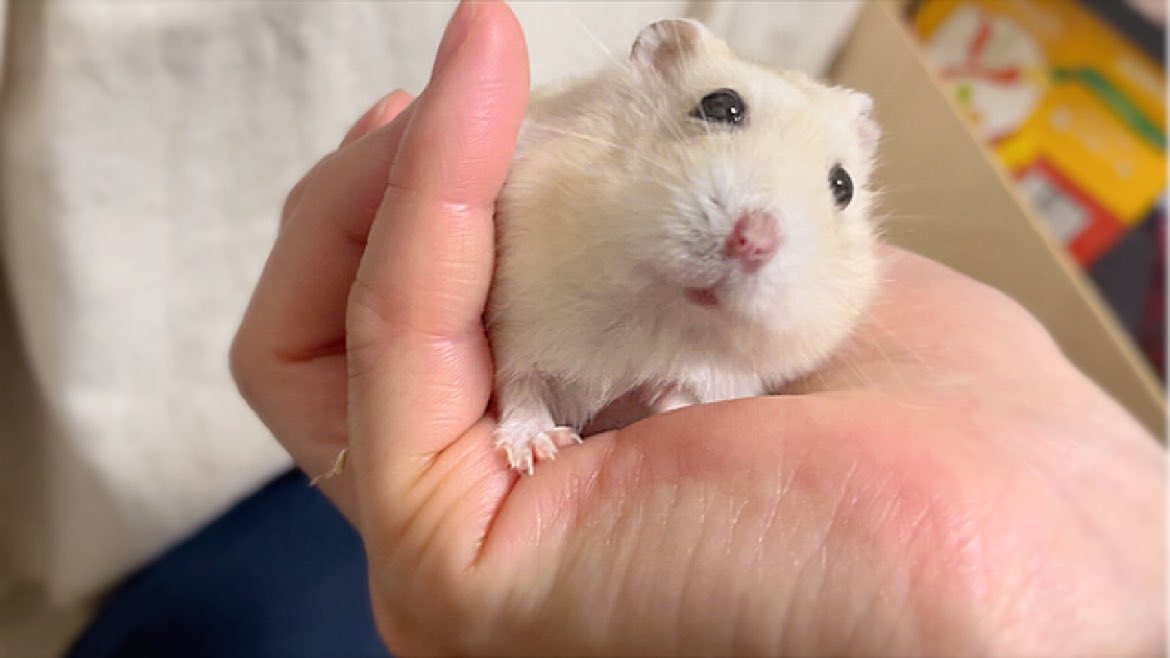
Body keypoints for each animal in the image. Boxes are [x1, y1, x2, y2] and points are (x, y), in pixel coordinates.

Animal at [488, 18, 882, 474]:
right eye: (721, 105)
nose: (753, 242)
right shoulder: (520, 321)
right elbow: (522, 385)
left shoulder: (730, 375)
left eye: (843, 186)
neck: (662, 308)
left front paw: (656, 396)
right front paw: (537, 448)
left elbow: (690, 392)